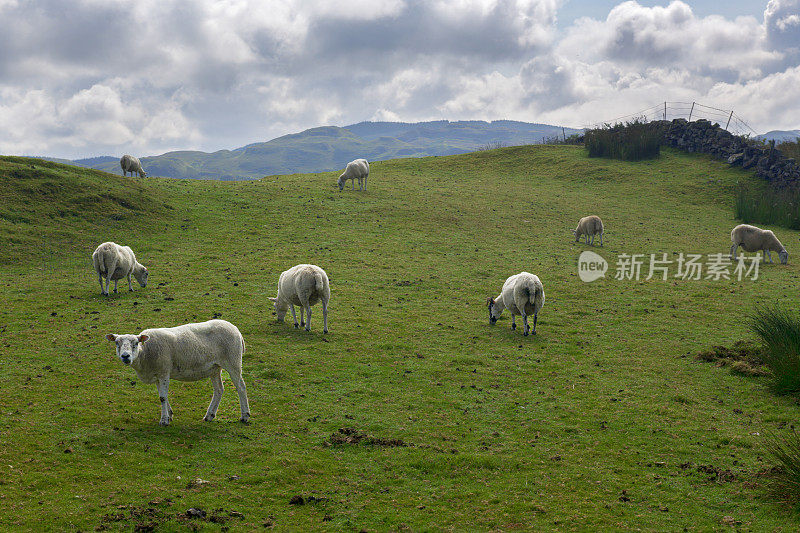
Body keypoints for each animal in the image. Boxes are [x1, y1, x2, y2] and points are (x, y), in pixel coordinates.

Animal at [106, 318, 250, 426]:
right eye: (117, 343)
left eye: (135, 343)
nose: (125, 356)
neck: (145, 352)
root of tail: (236, 329)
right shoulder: (157, 374)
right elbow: (162, 396)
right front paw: (169, 415)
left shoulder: (164, 372)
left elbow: (163, 397)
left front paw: (164, 420)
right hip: (215, 367)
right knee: (219, 389)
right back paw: (209, 415)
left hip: (233, 361)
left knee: (241, 387)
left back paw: (245, 416)